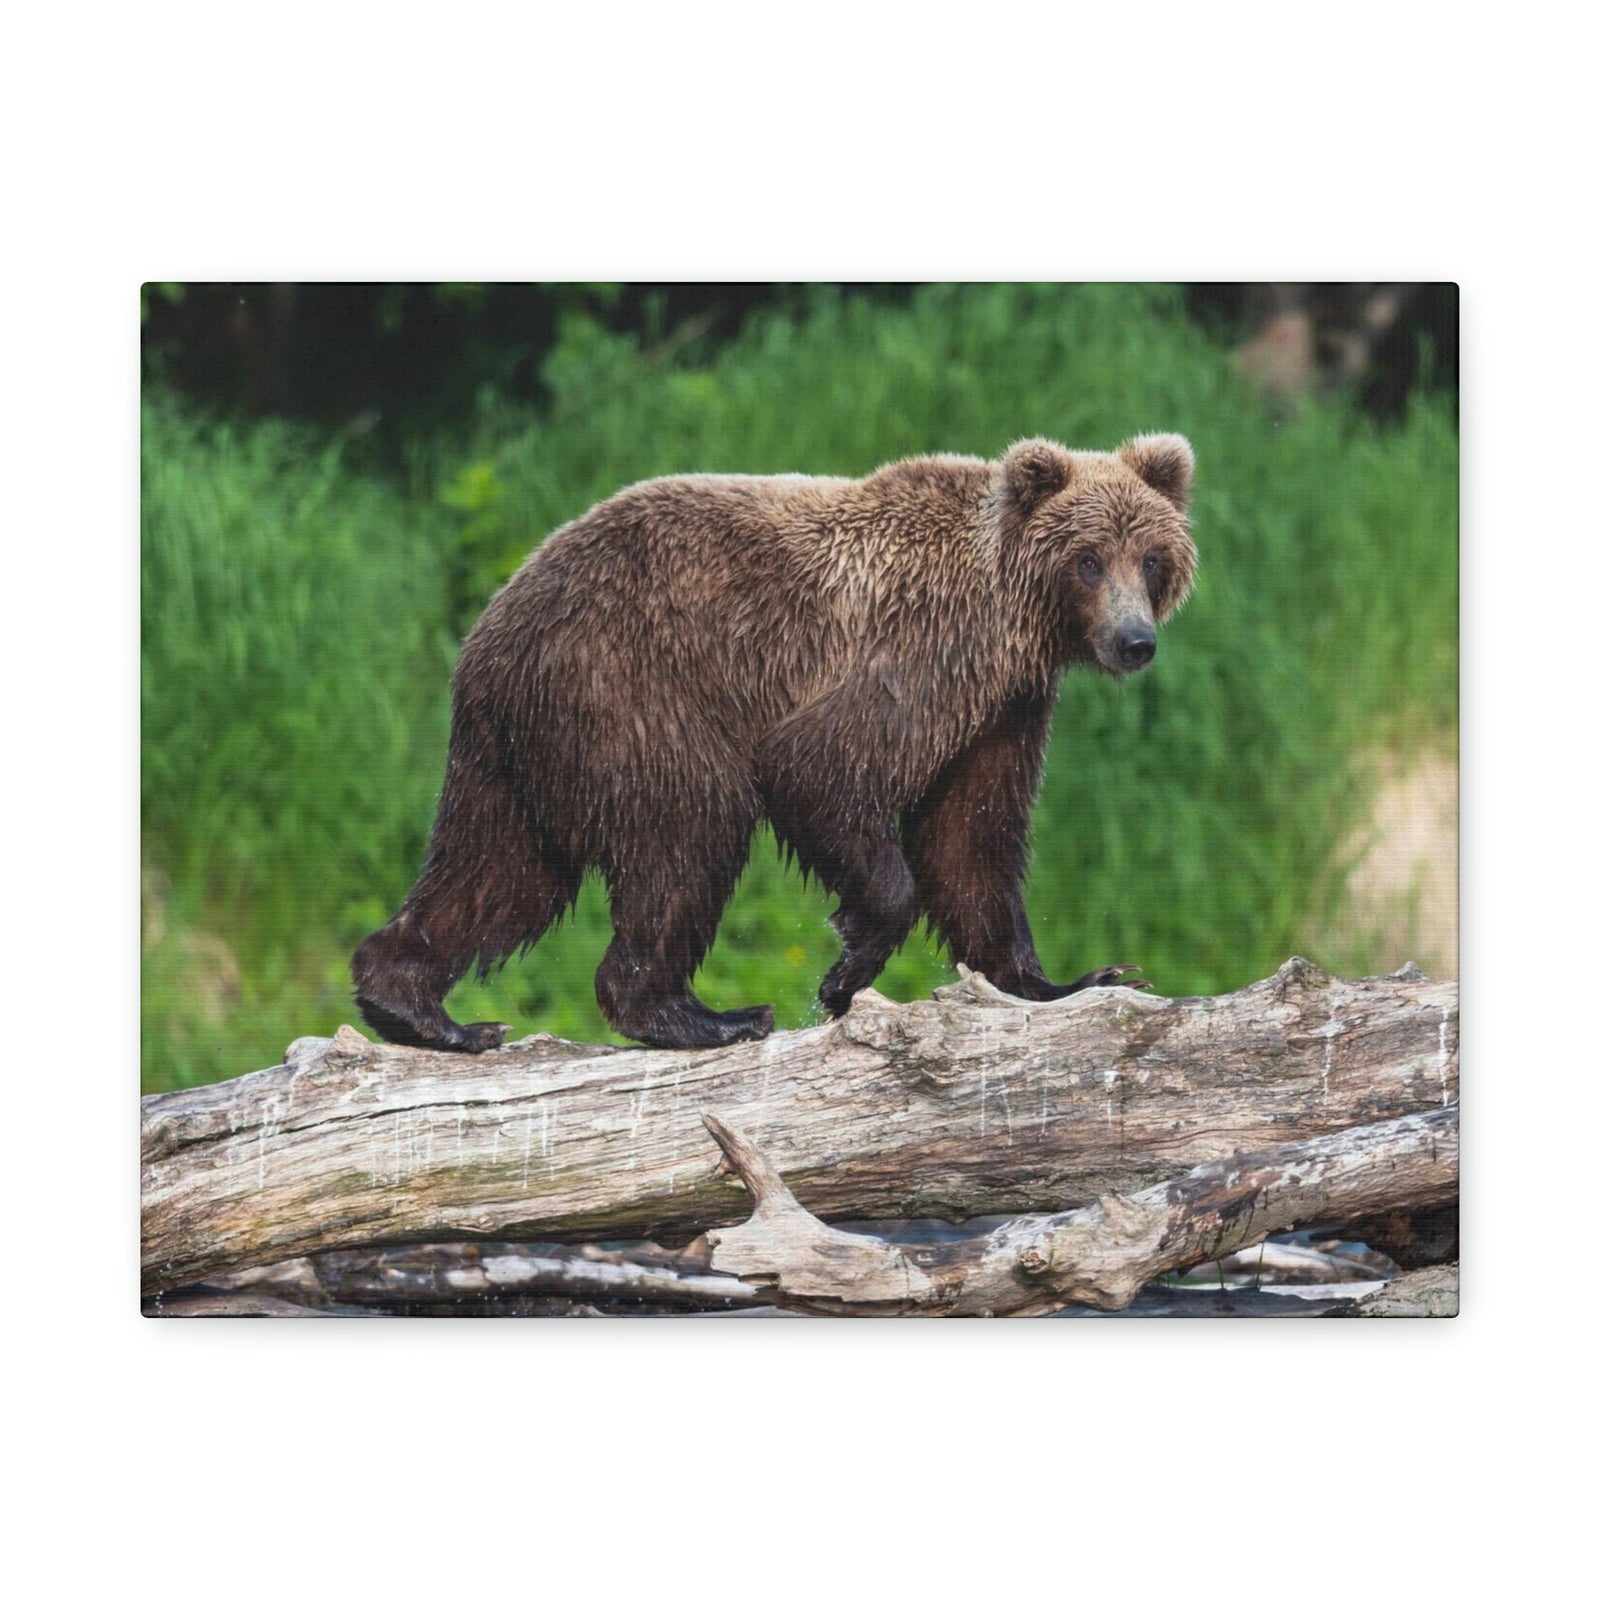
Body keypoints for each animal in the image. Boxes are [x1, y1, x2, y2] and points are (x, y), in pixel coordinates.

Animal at [352, 433, 1198, 1053]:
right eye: (1088, 559)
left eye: (1152, 557)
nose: (1135, 641)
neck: (1011, 622)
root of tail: (485, 635)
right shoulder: (919, 655)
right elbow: (821, 765)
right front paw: (844, 972)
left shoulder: (1003, 711)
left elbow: (971, 842)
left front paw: (1077, 978)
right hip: (629, 690)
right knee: (690, 830)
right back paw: (704, 1016)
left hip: (521, 756)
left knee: (498, 872)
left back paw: (421, 1009)